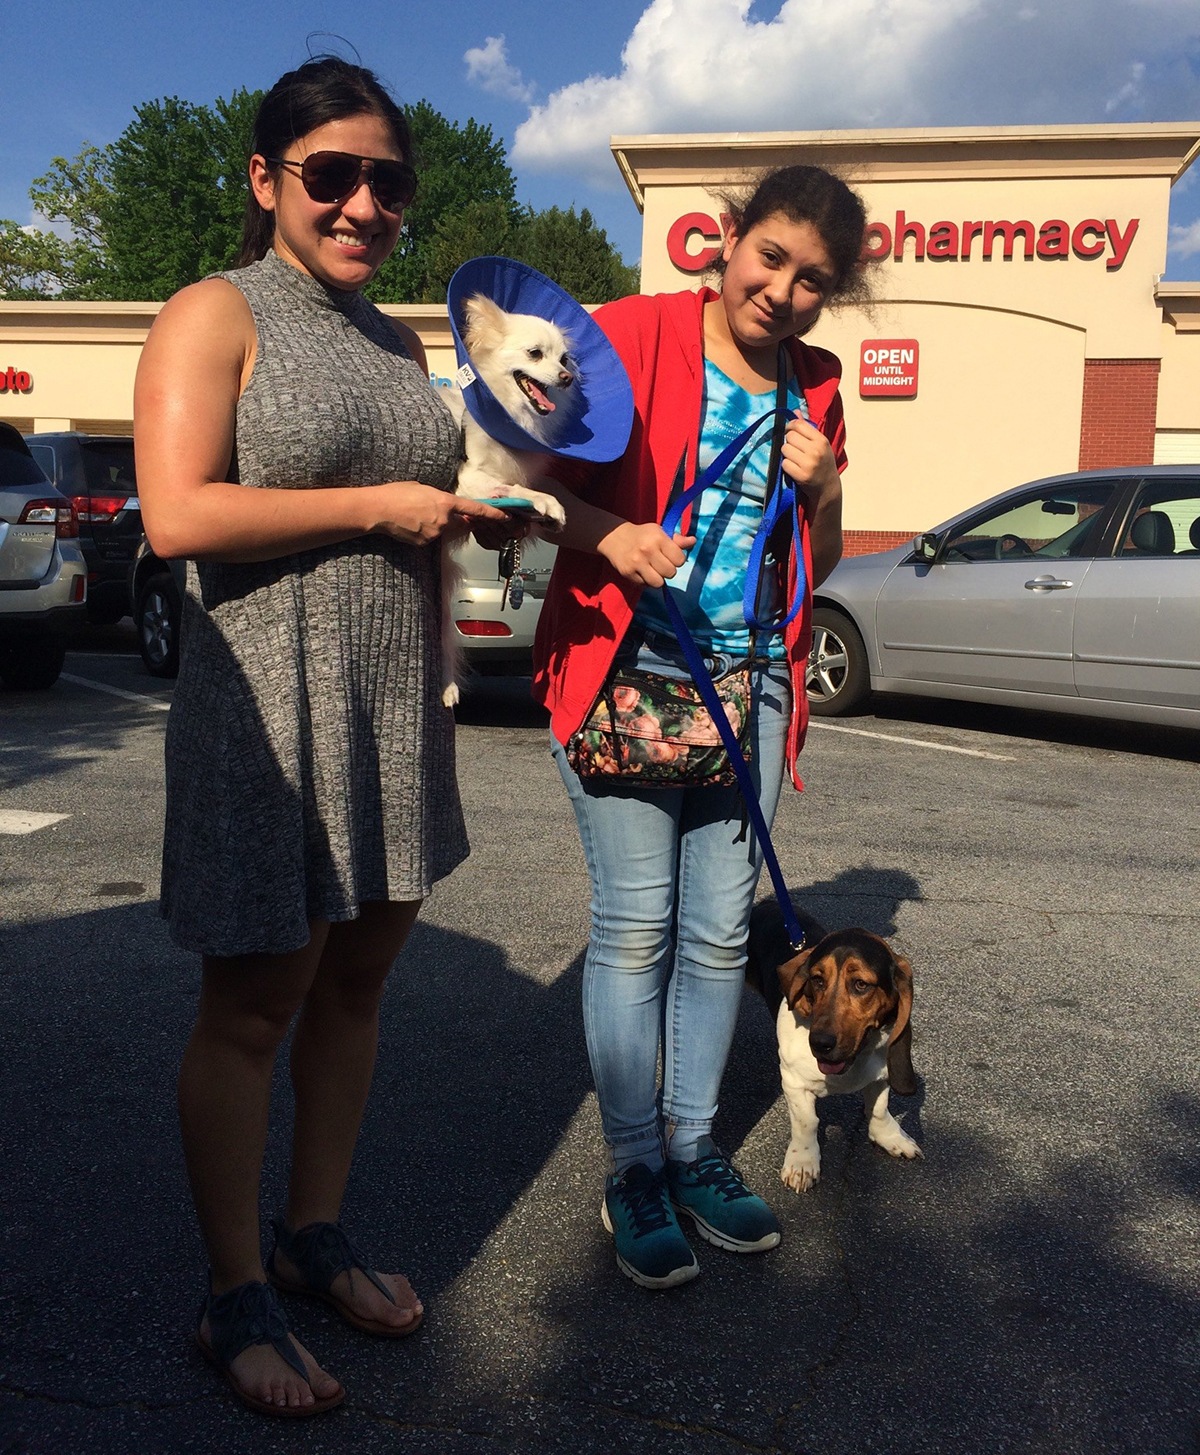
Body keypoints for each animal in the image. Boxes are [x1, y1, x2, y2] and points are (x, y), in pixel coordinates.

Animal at [436, 292, 573, 701]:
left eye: (563, 359)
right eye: (535, 354)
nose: (567, 378)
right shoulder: (467, 480)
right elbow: (517, 489)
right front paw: (547, 503)